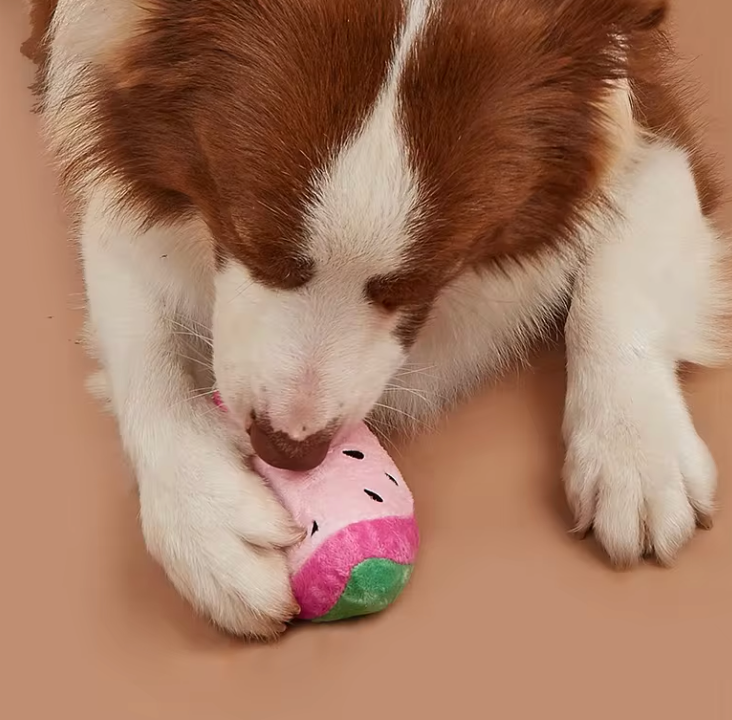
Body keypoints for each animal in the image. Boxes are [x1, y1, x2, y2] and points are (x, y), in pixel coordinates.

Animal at [20, 0, 728, 640]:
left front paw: (636, 451)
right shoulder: (112, 168)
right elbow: (145, 354)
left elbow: (617, 285)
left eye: (432, 277)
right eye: (247, 241)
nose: (290, 451)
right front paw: (204, 517)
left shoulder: (641, 120)